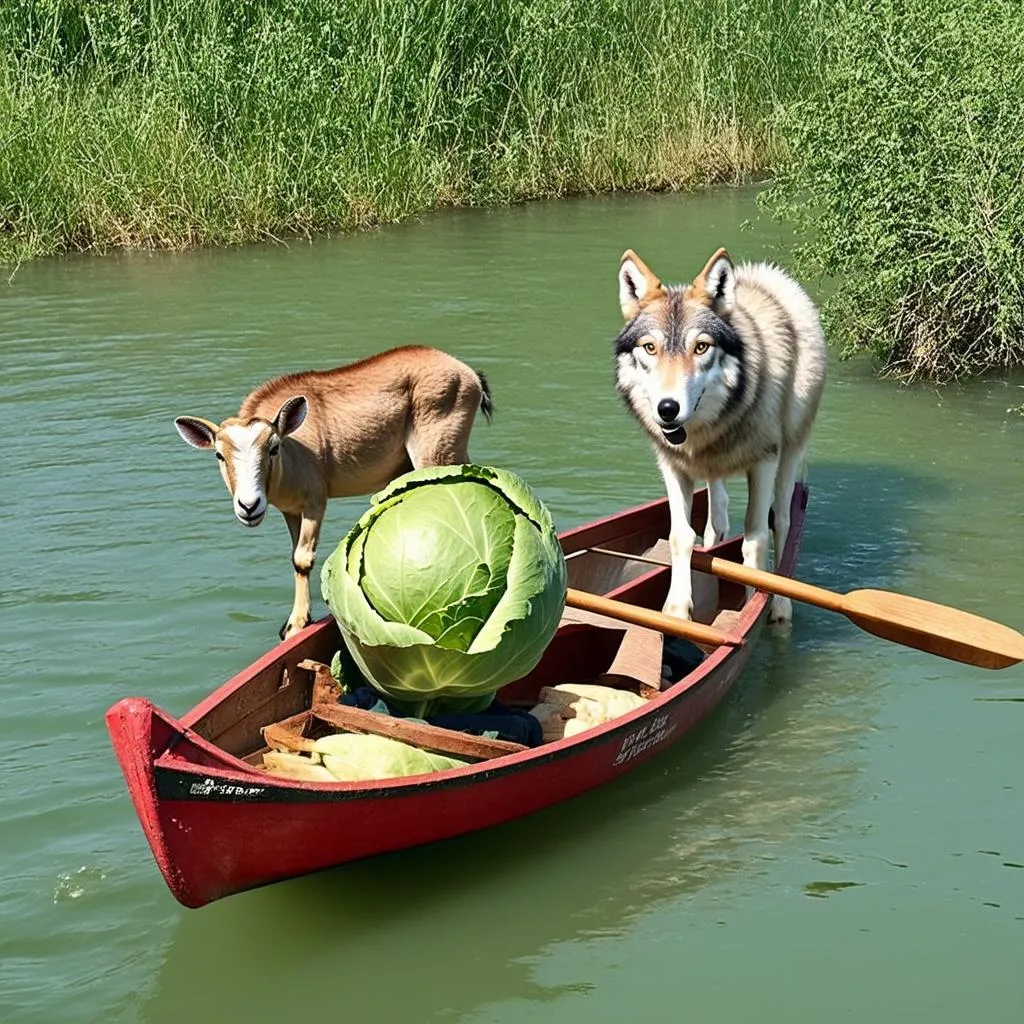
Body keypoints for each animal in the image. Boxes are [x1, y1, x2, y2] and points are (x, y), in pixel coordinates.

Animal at [172, 344, 491, 638]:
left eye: (273, 447)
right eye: (219, 455)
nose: (249, 506)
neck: (292, 451)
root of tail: (468, 374)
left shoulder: (316, 502)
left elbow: (303, 559)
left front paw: (297, 625)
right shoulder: (291, 511)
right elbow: (294, 557)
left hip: (437, 455)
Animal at [610, 245, 827, 622]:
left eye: (701, 347)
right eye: (650, 348)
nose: (667, 409)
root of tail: (766, 275)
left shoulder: (764, 462)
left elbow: (756, 537)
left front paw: (754, 603)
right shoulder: (672, 465)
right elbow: (682, 535)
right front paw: (677, 610)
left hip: (790, 454)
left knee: (783, 521)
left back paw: (781, 607)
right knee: (716, 518)